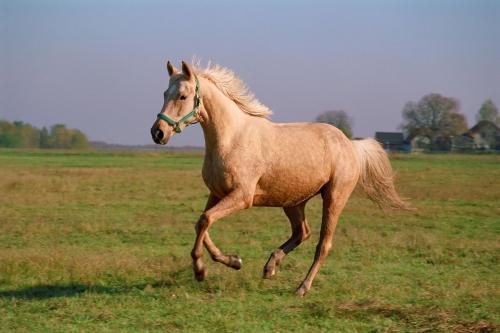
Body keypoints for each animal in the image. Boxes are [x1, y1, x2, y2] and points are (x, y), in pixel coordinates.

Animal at [149, 60, 410, 296]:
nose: (158, 132)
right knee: (302, 232)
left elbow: (205, 221)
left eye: (182, 96)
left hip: (334, 198)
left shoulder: (242, 197)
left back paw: (302, 288)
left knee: (323, 245)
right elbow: (202, 223)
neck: (232, 138)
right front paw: (234, 261)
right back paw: (270, 267)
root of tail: (351, 145)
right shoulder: (217, 194)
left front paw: (201, 270)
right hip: (294, 202)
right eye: (164, 93)